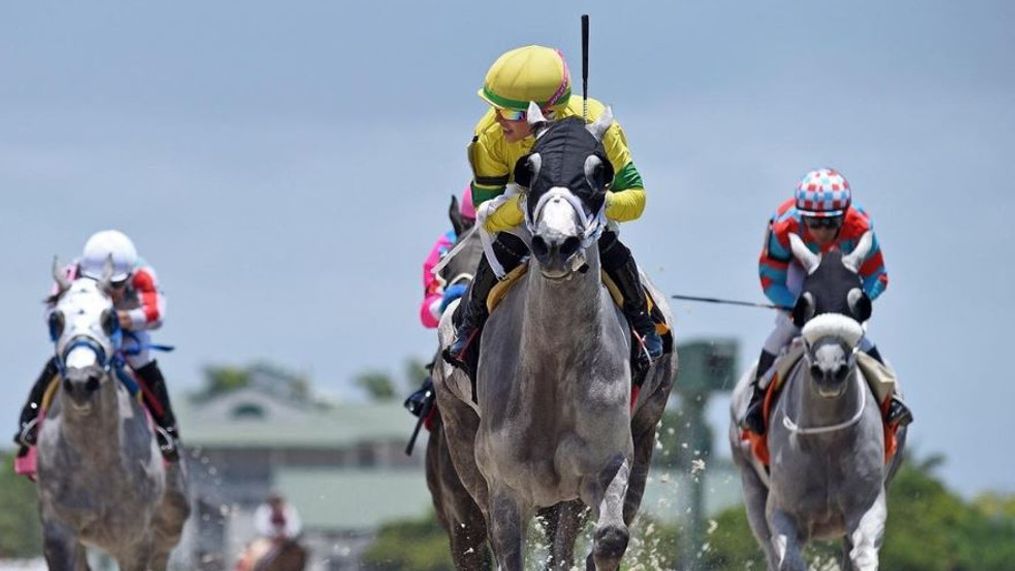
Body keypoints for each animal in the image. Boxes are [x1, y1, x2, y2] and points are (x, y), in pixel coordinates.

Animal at [35, 259, 190, 571]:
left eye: (110, 318)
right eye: (56, 319)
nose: (82, 383)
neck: (95, 456)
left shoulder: (134, 540)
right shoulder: (59, 533)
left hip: (169, 527)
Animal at [436, 103, 673, 571]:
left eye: (601, 172)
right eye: (528, 171)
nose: (556, 245)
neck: (554, 367)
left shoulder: (606, 463)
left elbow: (611, 537)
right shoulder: (506, 489)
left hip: (640, 436)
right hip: (462, 446)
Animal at [730, 234, 905, 567]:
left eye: (860, 303)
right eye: (804, 303)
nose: (829, 370)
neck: (827, 438)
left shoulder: (868, 507)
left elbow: (863, 553)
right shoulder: (782, 512)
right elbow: (787, 556)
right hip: (750, 482)